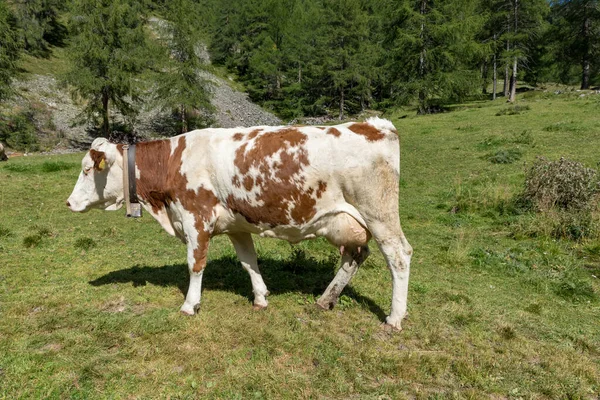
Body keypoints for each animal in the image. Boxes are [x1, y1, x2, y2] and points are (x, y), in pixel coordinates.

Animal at [65, 117, 412, 330]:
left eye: (86, 169)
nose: (68, 203)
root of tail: (372, 124)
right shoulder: (236, 225)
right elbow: (248, 261)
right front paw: (260, 297)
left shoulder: (196, 218)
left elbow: (195, 264)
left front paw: (190, 304)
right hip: (346, 221)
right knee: (355, 255)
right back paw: (326, 299)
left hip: (379, 214)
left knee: (398, 255)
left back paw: (394, 317)